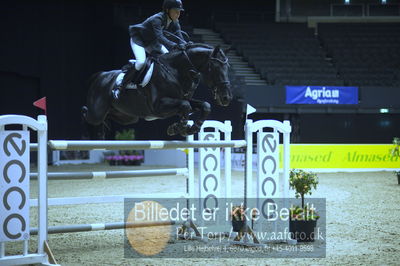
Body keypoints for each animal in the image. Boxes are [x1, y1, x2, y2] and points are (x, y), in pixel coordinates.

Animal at [83, 43, 233, 139]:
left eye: (228, 68)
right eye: (215, 67)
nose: (226, 98)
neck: (177, 71)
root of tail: (101, 75)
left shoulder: (184, 99)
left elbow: (205, 106)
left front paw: (191, 128)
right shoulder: (158, 107)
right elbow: (185, 106)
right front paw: (178, 128)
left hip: (128, 117)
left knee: (109, 116)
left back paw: (103, 130)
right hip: (97, 113)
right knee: (87, 114)